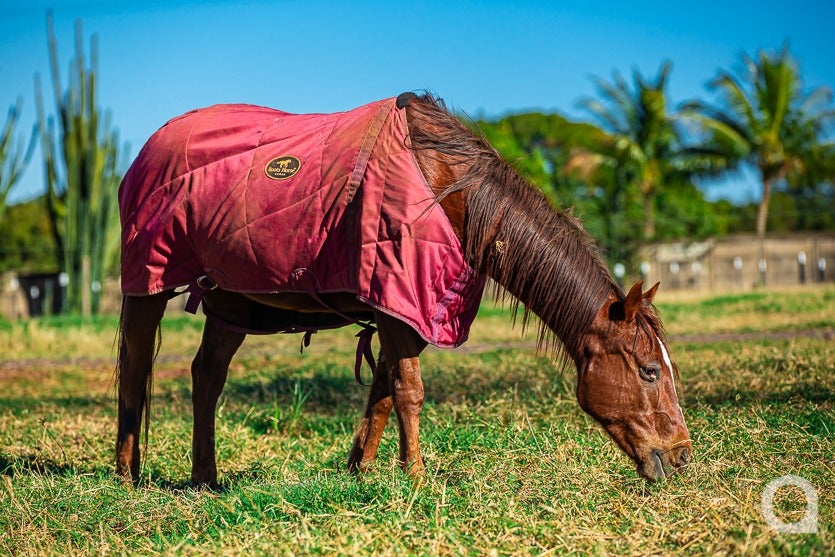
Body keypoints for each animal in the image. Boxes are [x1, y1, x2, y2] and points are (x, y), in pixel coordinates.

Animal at [116, 92, 692, 488]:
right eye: (649, 370)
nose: (683, 453)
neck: (447, 188)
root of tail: (150, 146)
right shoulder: (395, 302)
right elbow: (408, 391)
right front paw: (414, 477)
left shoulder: (401, 306)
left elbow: (383, 393)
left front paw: (361, 471)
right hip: (147, 282)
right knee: (136, 371)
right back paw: (127, 475)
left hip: (231, 303)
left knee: (207, 377)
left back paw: (205, 479)